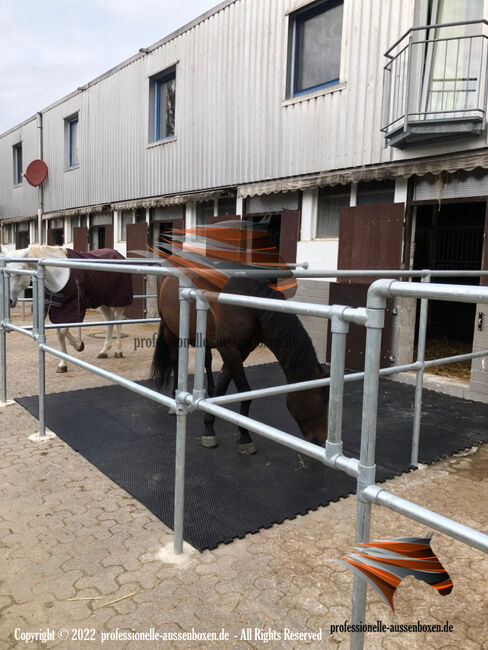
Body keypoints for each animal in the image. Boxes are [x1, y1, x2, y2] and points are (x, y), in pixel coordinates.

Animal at [152, 276, 328, 454]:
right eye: (322, 401)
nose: (320, 440)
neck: (249, 306)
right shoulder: (229, 350)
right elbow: (245, 392)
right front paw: (244, 438)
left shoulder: (242, 351)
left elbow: (222, 386)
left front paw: (209, 425)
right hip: (170, 330)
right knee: (175, 361)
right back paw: (174, 399)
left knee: (207, 360)